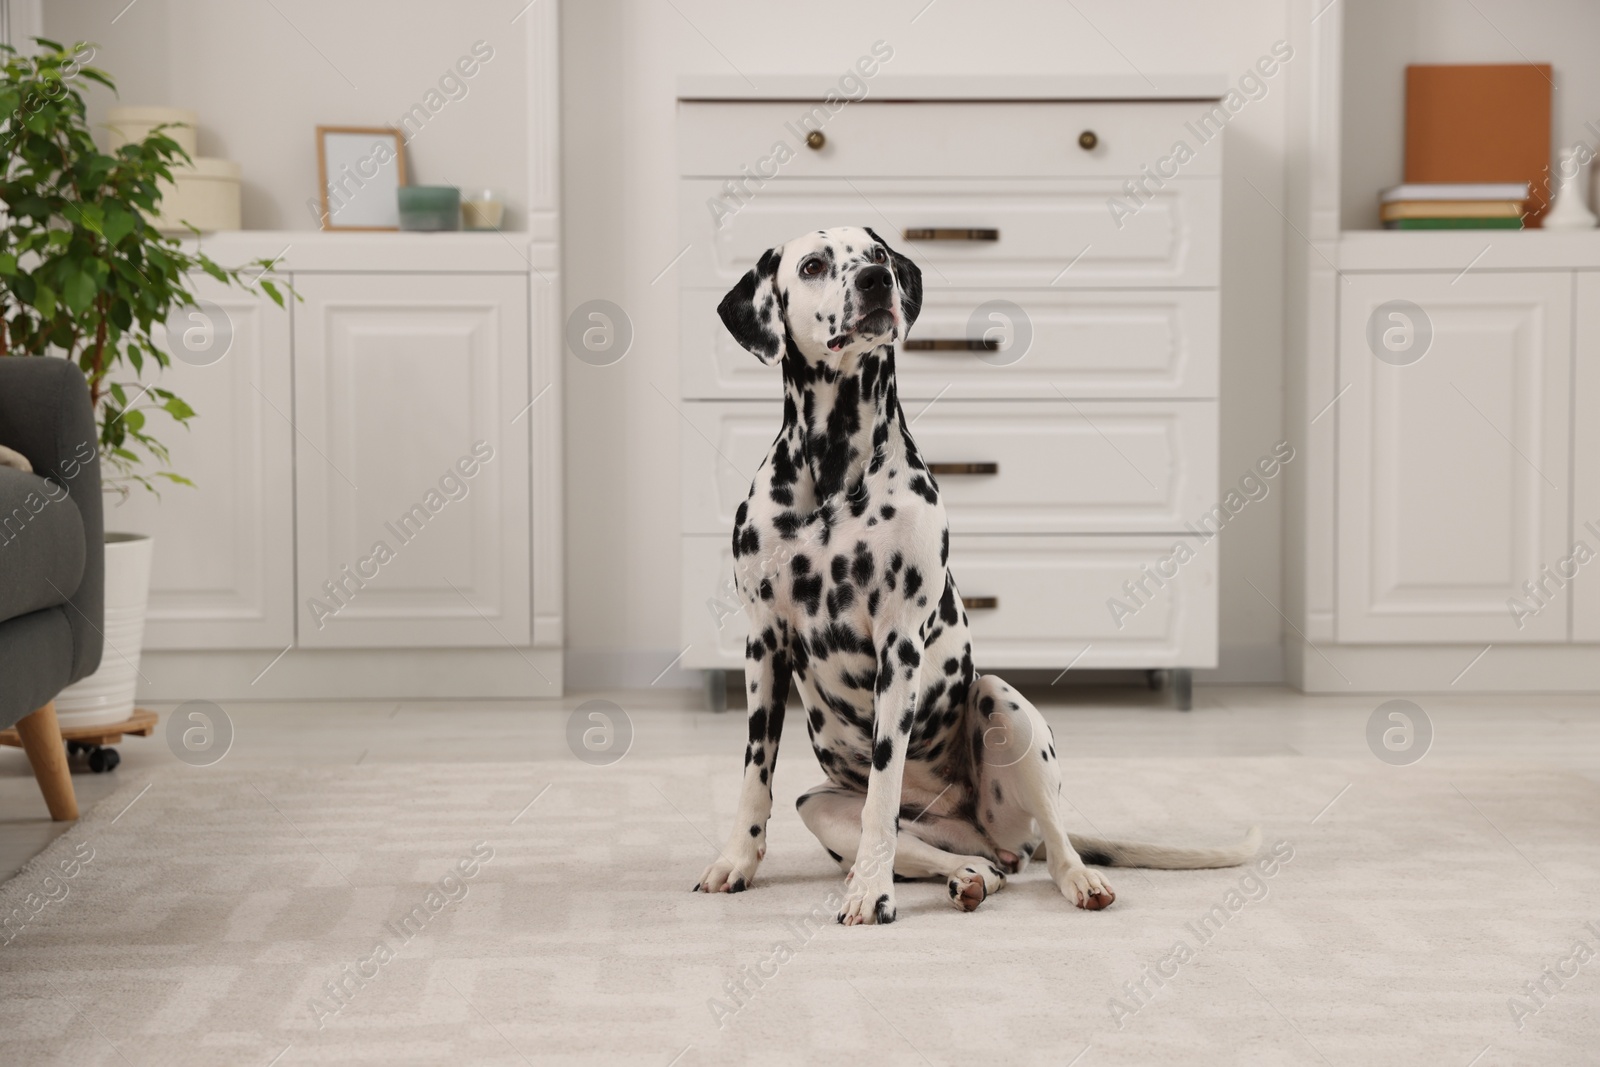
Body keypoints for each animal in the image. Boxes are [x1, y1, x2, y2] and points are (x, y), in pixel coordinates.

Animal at [694, 227, 1254, 927]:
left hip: (1003, 706)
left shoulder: (899, 645)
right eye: (814, 265)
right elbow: (755, 776)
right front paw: (737, 862)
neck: (834, 466)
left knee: (1052, 839)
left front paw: (871, 895)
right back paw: (966, 877)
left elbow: (882, 790)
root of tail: (990, 836)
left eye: (877, 253)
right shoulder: (764, 641)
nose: (877, 280)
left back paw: (1076, 878)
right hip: (823, 808)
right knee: (972, 864)